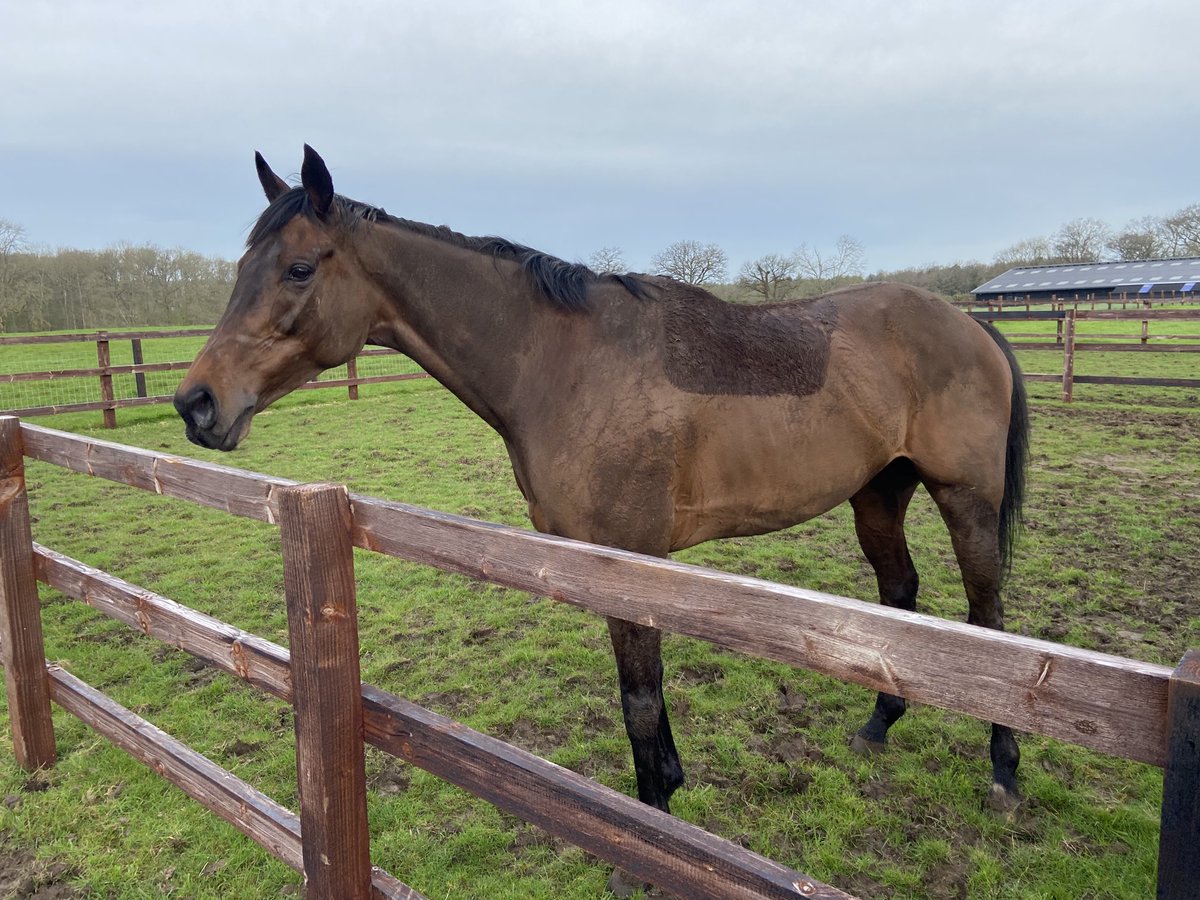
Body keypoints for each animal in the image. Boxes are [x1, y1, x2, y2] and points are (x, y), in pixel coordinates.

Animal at [175, 150, 1032, 844]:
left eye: (298, 268)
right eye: (243, 267)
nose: (197, 403)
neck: (561, 365)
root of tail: (971, 325)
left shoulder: (630, 561)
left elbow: (640, 704)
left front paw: (653, 833)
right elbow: (642, 704)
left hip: (964, 499)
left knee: (987, 618)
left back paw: (1004, 771)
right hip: (877, 493)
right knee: (900, 595)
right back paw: (877, 727)